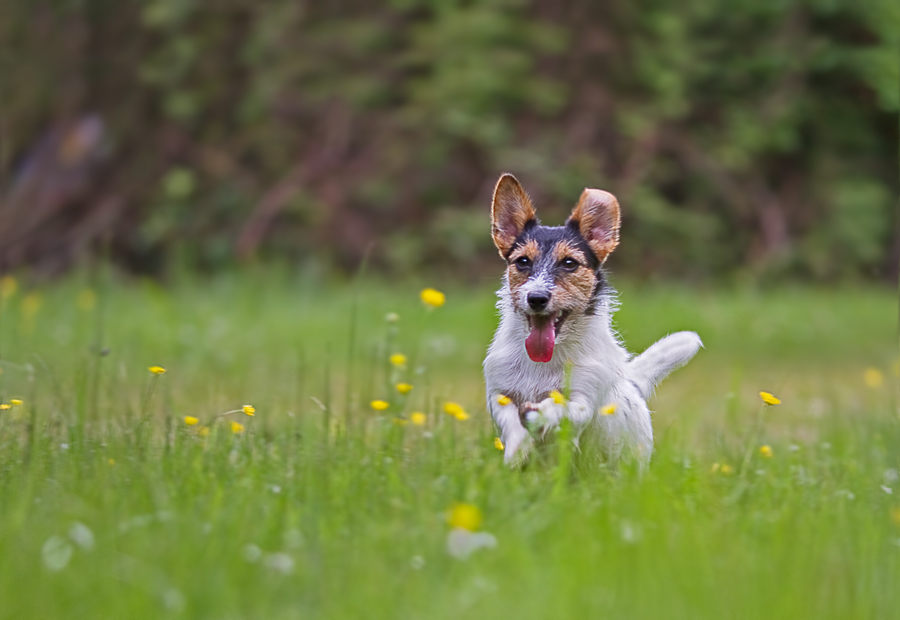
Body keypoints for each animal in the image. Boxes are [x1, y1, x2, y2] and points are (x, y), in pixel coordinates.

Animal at [486, 172, 704, 462]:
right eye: (522, 262)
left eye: (569, 263)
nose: (536, 298)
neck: (546, 362)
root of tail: (633, 382)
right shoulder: (498, 394)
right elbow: (509, 418)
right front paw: (518, 449)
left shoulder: (583, 401)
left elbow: (562, 407)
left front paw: (541, 414)